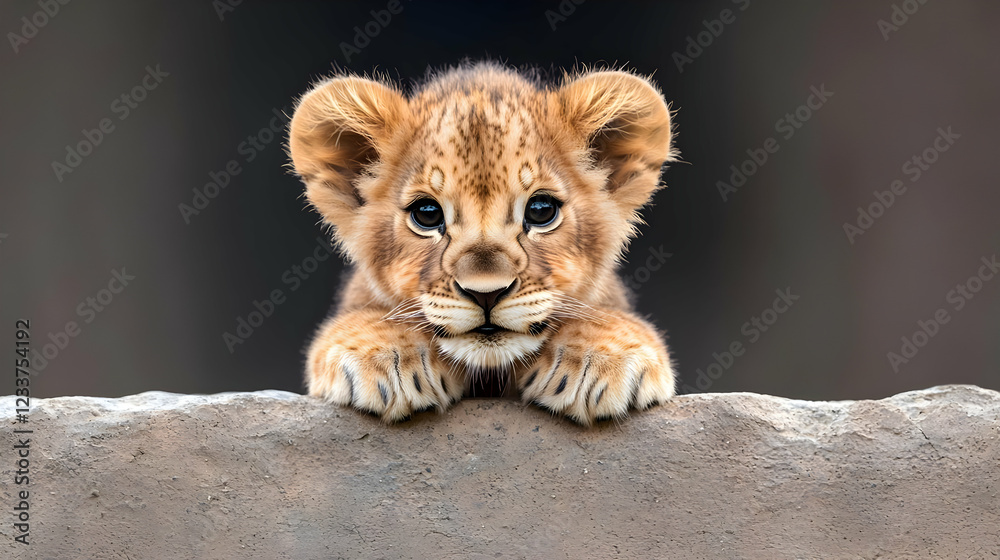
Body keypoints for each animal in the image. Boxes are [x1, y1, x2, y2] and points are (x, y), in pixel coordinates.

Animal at [288, 62, 677, 424]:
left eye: (541, 210)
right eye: (427, 214)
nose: (486, 294)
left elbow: (602, 316)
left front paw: (600, 357)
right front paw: (386, 354)